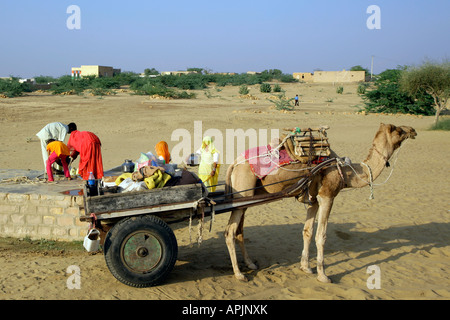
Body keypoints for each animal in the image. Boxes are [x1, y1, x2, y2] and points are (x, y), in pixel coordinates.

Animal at [223, 123, 416, 282]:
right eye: (399, 130)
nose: (413, 130)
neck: (346, 172)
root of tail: (234, 163)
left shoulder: (313, 200)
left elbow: (307, 232)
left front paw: (306, 267)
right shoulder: (327, 196)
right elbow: (321, 236)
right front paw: (323, 276)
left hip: (246, 198)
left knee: (239, 231)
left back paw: (250, 264)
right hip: (242, 191)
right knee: (230, 231)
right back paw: (239, 274)